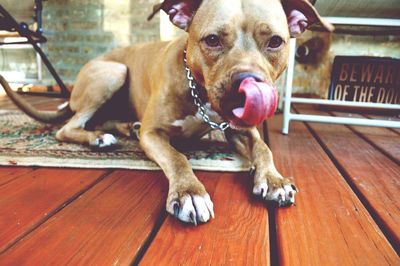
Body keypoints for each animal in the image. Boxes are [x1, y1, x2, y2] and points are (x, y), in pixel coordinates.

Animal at [0, 0, 332, 224]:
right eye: (212, 39)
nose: (247, 84)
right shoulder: (154, 133)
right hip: (113, 72)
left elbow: (264, 148)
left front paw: (274, 180)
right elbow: (177, 157)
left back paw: (123, 128)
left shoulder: (239, 130)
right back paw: (97, 138)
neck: (199, 93)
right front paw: (189, 192)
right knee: (67, 127)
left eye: (275, 41)